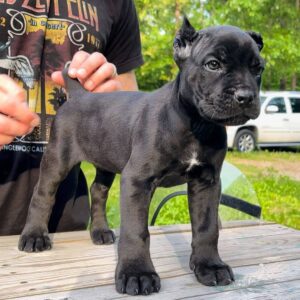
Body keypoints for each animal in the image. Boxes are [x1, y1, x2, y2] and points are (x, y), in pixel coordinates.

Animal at [18, 18, 264, 296]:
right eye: (213, 64)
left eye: (258, 69)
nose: (245, 96)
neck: (194, 123)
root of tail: (80, 94)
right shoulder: (137, 180)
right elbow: (136, 231)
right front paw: (137, 273)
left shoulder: (207, 182)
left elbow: (207, 227)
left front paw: (210, 266)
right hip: (58, 157)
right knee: (43, 193)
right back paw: (35, 236)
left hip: (106, 159)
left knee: (98, 191)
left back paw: (100, 232)